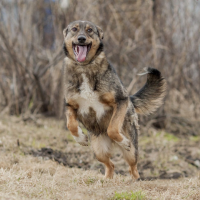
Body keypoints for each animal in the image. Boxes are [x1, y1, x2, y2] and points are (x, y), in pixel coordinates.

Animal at [62, 20, 166, 180]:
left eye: (90, 30)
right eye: (74, 29)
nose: (81, 38)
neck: (85, 68)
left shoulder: (121, 100)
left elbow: (112, 128)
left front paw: (123, 141)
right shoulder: (70, 105)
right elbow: (71, 125)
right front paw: (80, 138)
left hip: (132, 152)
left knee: (133, 168)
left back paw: (134, 178)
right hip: (99, 151)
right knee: (110, 165)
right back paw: (107, 180)